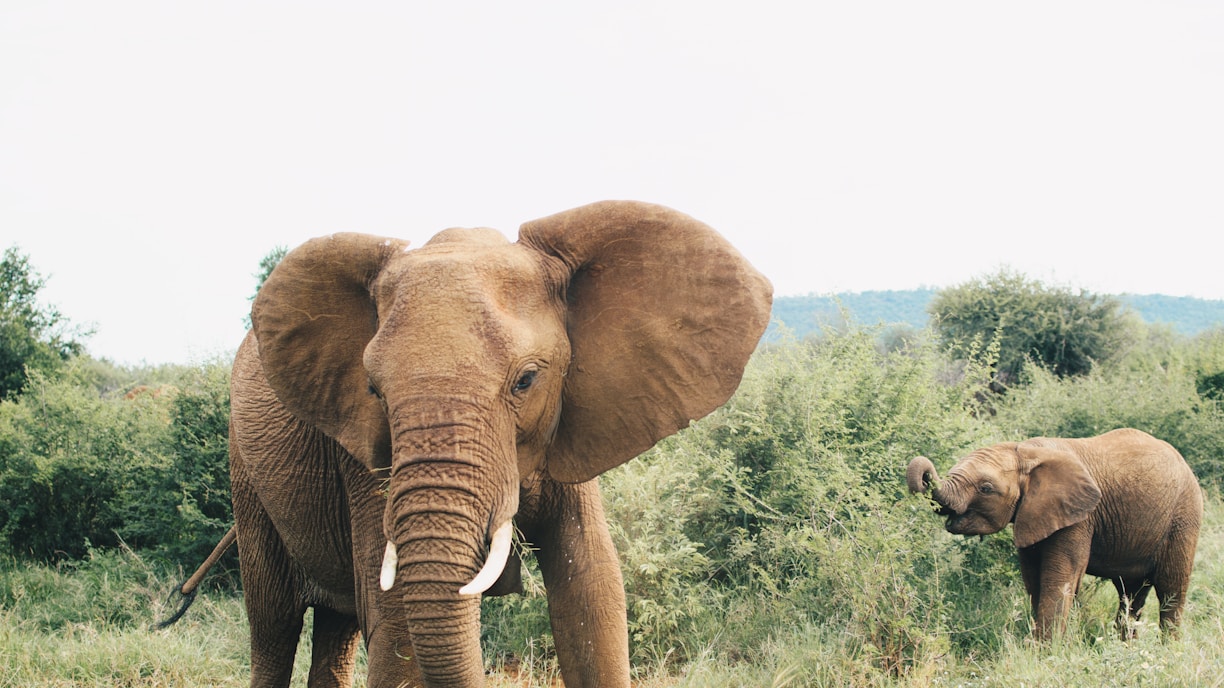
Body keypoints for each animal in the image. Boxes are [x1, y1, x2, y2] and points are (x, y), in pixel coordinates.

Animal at [226, 199, 768, 685]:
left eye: (526, 380)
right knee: (274, 626)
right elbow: (395, 620)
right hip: (246, 480)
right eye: (374, 391)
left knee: (334, 630)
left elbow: (592, 591)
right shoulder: (366, 458)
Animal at [910, 426, 1204, 641]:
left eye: (985, 488)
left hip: (1183, 517)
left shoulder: (1080, 517)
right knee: (1131, 593)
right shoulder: (1033, 512)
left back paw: (1167, 651)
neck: (1026, 451)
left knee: (1170, 590)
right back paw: (1125, 649)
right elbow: (1033, 578)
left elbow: (1059, 576)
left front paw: (1045, 651)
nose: (925, 474)